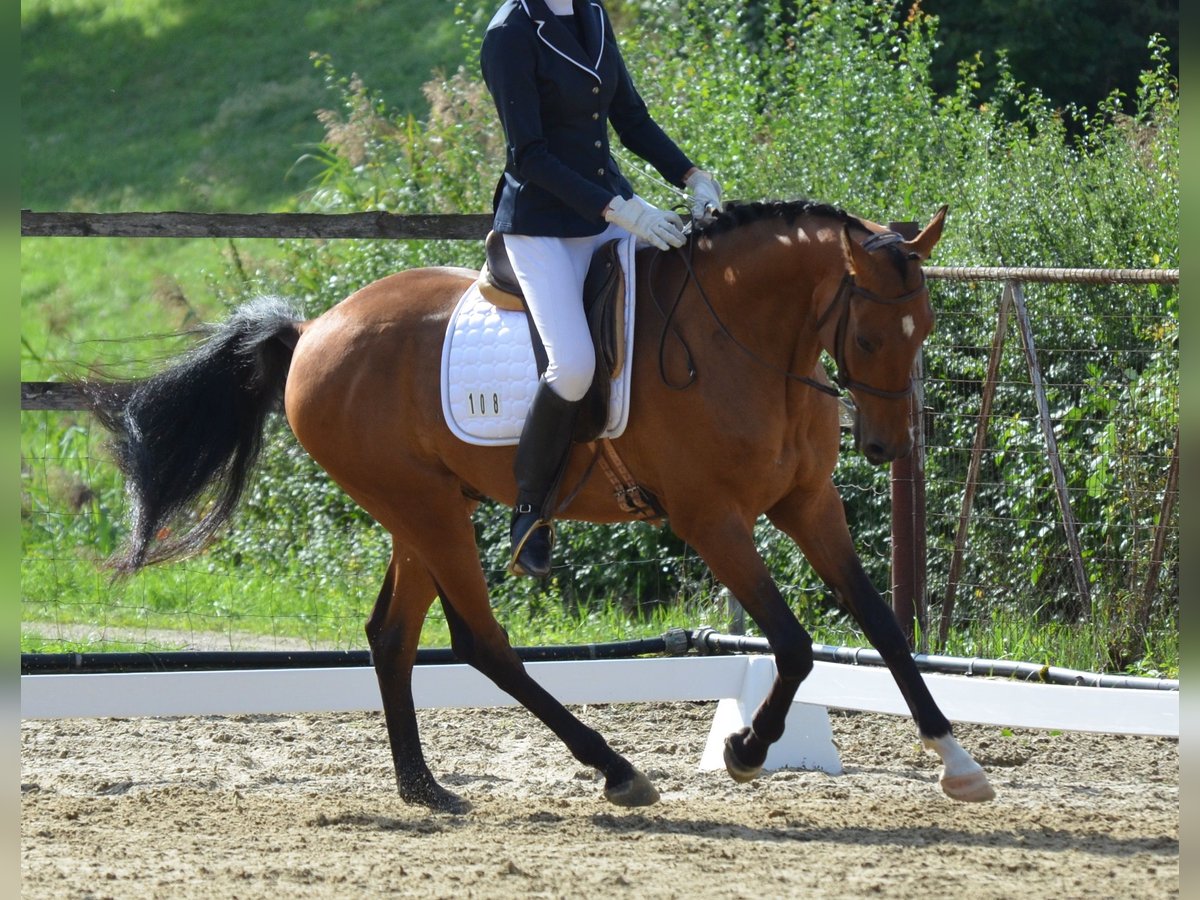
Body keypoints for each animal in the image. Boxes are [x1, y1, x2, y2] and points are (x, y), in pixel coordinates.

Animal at [87, 200, 993, 816]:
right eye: (870, 337)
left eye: (924, 327)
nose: (887, 449)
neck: (748, 343)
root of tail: (313, 330)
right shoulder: (710, 519)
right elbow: (797, 644)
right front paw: (744, 748)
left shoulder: (808, 503)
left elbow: (881, 624)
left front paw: (957, 761)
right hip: (426, 509)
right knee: (480, 643)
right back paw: (615, 770)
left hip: (423, 508)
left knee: (393, 636)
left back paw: (425, 788)